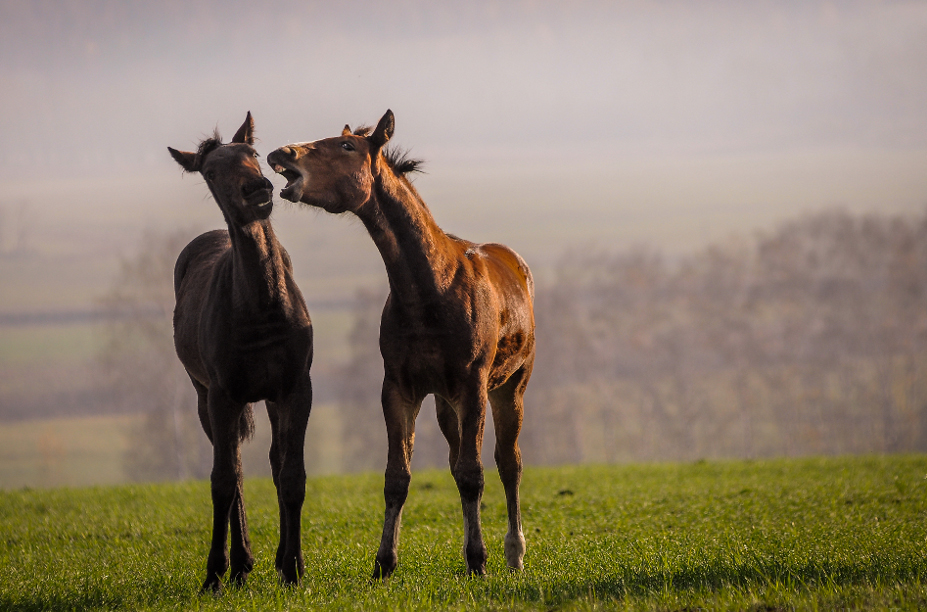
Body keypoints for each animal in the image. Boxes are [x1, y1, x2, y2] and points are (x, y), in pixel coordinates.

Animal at [167, 112, 312, 592]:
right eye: (211, 172)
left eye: (252, 153)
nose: (257, 190)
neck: (261, 311)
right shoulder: (222, 392)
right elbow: (223, 480)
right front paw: (215, 571)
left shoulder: (295, 385)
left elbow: (291, 474)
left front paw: (293, 567)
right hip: (202, 393)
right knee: (234, 467)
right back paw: (241, 563)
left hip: (268, 396)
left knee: (271, 461)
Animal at [268, 111, 532, 580]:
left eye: (347, 146)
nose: (282, 153)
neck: (431, 288)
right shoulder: (399, 389)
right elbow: (399, 476)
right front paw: (384, 563)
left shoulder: (473, 386)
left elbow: (475, 473)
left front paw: (479, 562)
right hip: (446, 403)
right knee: (458, 461)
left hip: (509, 387)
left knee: (508, 462)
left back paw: (513, 551)